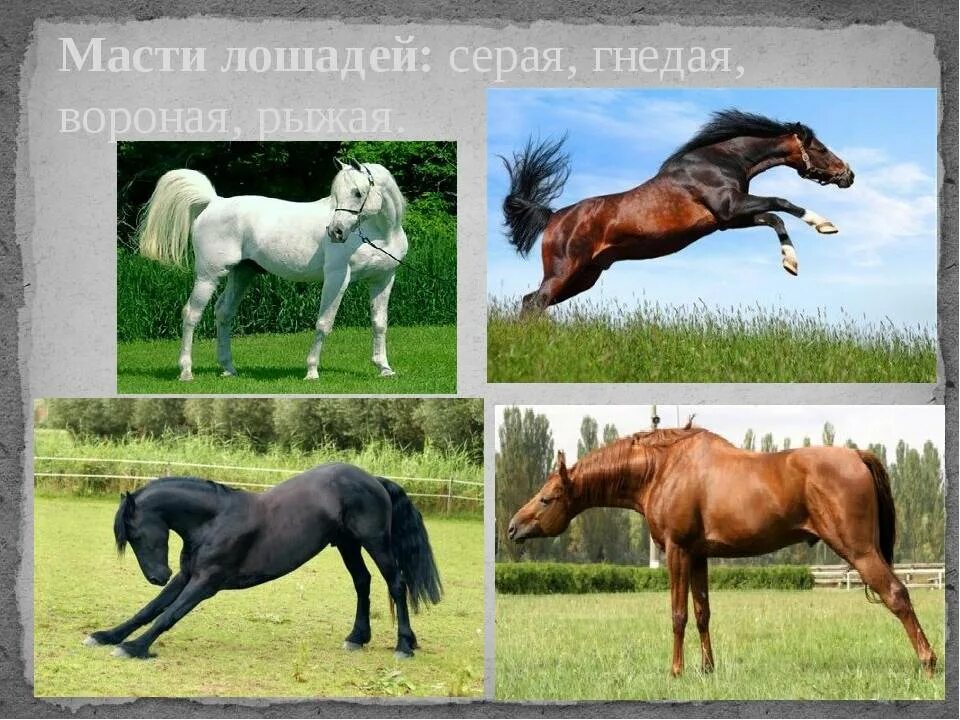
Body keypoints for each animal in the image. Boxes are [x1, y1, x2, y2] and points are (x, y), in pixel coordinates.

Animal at [82, 463, 442, 660]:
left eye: (136, 535)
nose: (157, 575)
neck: (214, 520)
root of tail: (374, 480)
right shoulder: (186, 576)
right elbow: (149, 610)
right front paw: (106, 636)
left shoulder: (205, 582)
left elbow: (168, 616)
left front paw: (133, 648)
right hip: (347, 544)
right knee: (362, 583)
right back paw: (357, 638)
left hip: (375, 542)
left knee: (396, 584)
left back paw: (403, 646)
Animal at [136, 158, 408, 381]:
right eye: (335, 195)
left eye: (358, 193)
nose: (335, 232)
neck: (379, 233)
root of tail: (214, 202)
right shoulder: (337, 277)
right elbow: (324, 322)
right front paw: (312, 371)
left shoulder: (384, 279)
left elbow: (379, 323)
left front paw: (384, 368)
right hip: (208, 275)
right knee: (191, 314)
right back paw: (186, 372)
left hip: (242, 274)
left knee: (223, 312)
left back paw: (228, 369)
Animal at [500, 109, 855, 312]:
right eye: (821, 149)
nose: (848, 175)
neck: (720, 161)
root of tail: (554, 216)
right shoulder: (729, 206)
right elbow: (783, 204)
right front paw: (825, 225)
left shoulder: (728, 219)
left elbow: (774, 218)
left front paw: (790, 263)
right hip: (564, 271)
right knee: (535, 302)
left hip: (585, 275)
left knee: (531, 301)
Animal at [507, 424, 936, 678]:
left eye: (546, 499)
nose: (512, 527)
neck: (663, 469)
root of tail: (857, 455)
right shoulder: (698, 556)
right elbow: (702, 614)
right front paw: (706, 670)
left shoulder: (677, 552)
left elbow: (678, 615)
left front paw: (676, 672)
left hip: (861, 551)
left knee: (897, 595)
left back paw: (929, 663)